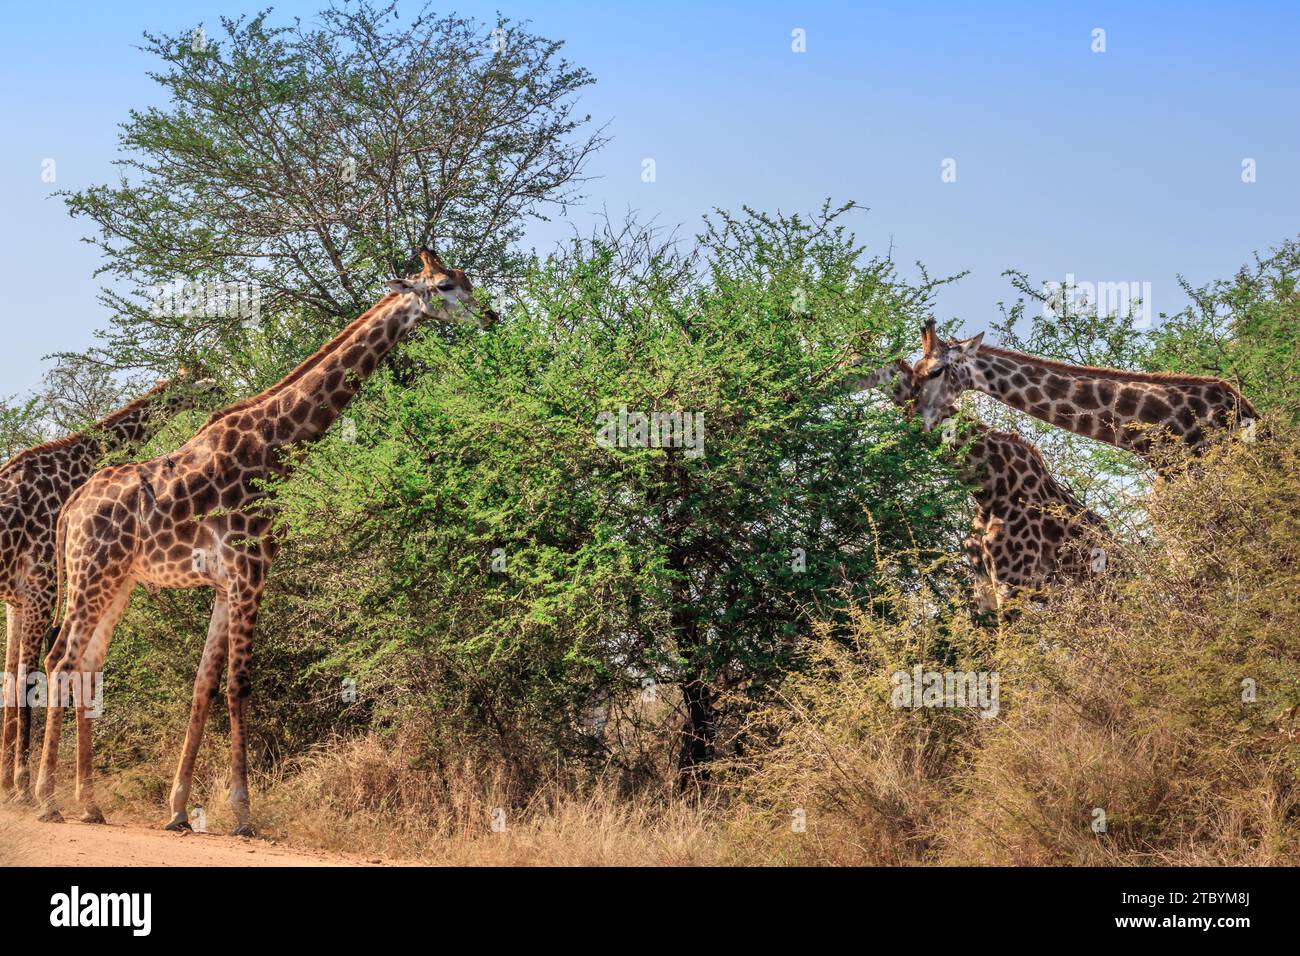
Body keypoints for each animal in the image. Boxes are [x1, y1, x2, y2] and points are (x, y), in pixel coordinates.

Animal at [1, 368, 216, 799]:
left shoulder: (17, 599)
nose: (223, 390)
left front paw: (7, 782)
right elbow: (27, 679)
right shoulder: (42, 587)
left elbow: (10, 680)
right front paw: (23, 784)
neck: (71, 467)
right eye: (203, 382)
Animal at [34, 249, 495, 831]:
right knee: (60, 661)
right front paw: (242, 812)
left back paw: (89, 804)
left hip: (117, 581)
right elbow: (239, 685)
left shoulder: (226, 583)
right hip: (91, 572)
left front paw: (179, 810)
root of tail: (71, 508)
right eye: (444, 285)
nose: (491, 316)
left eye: (466, 280)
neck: (275, 445)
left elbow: (204, 685)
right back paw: (47, 800)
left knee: (87, 665)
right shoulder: (251, 570)